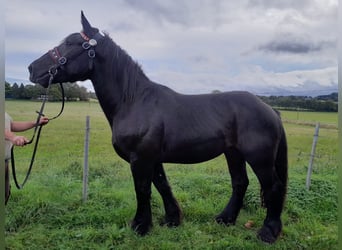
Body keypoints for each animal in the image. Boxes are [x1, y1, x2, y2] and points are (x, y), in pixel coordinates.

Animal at [28, 12, 288, 244]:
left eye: (71, 43)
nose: (32, 69)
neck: (134, 101)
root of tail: (270, 110)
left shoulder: (140, 158)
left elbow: (143, 190)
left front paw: (140, 226)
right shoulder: (152, 159)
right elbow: (162, 185)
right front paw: (172, 219)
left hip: (259, 158)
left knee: (272, 187)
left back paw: (268, 232)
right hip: (233, 153)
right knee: (240, 183)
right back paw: (225, 219)